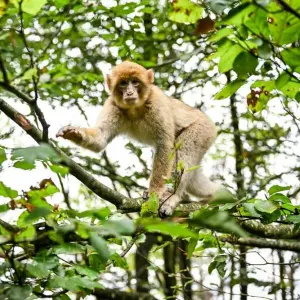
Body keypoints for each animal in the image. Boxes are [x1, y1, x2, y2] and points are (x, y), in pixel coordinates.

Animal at [56, 61, 220, 216]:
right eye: (123, 83)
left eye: (135, 82)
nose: (129, 92)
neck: (135, 108)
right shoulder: (113, 105)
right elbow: (101, 138)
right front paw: (74, 132)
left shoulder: (157, 102)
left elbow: (165, 145)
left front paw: (154, 194)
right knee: (192, 177)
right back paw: (215, 195)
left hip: (202, 130)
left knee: (184, 153)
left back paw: (172, 197)